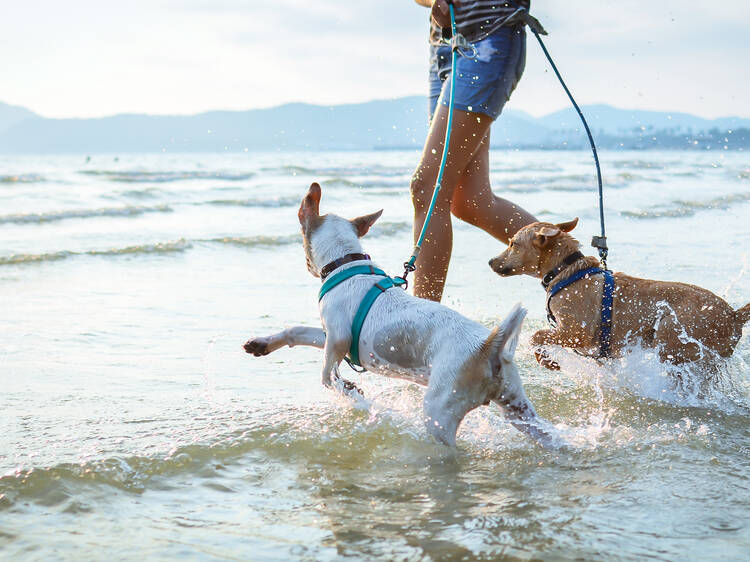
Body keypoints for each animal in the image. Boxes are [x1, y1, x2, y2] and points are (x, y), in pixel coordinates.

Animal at [244, 184, 560, 446]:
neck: (346, 264)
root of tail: (489, 347)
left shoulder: (338, 338)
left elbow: (326, 375)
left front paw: (350, 392)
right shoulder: (330, 335)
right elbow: (297, 332)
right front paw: (262, 344)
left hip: (440, 411)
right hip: (519, 409)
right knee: (548, 435)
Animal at [488, 217, 750, 370]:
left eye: (512, 244)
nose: (490, 261)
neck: (566, 271)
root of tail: (734, 315)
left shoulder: (576, 332)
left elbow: (537, 336)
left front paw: (547, 360)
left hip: (670, 332)